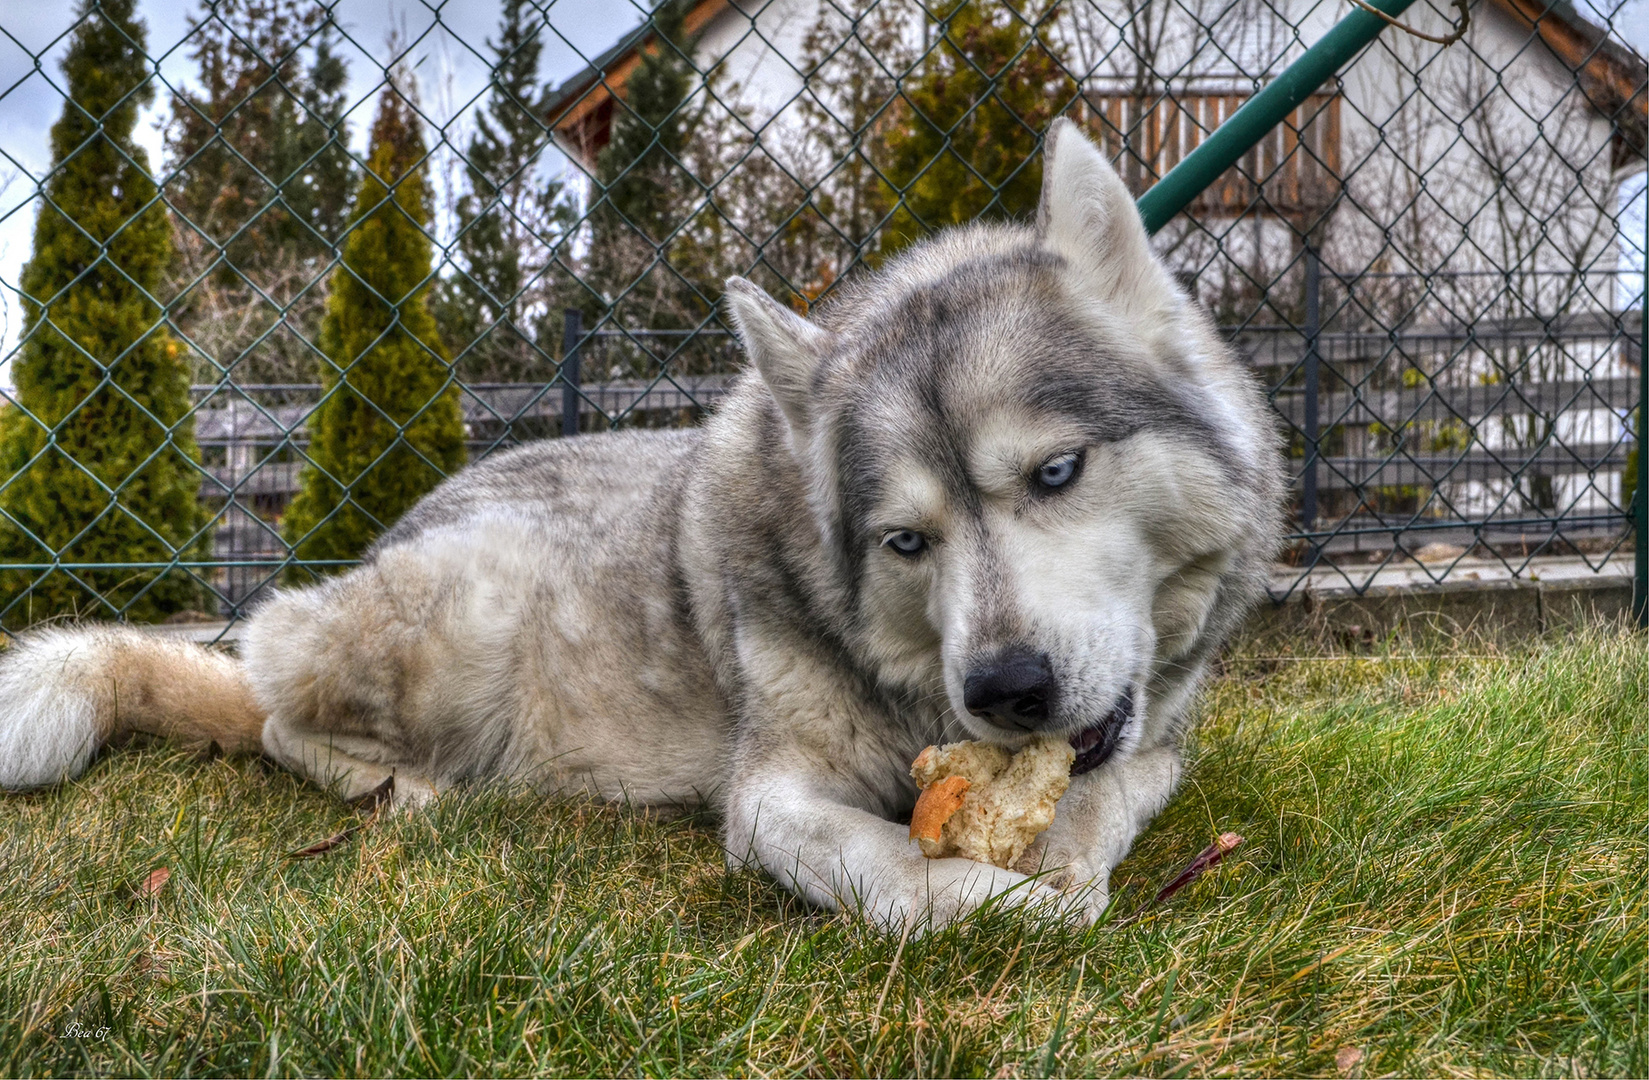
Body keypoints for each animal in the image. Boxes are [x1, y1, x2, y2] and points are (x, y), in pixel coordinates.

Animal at [0, 120, 1286, 929]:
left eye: (1057, 471)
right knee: (273, 718)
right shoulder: (770, 798)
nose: (1005, 692)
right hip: (460, 605)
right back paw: (412, 791)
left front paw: (1062, 860)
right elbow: (894, 875)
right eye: (904, 542)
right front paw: (994, 903)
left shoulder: (1154, 748)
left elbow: (1105, 803)